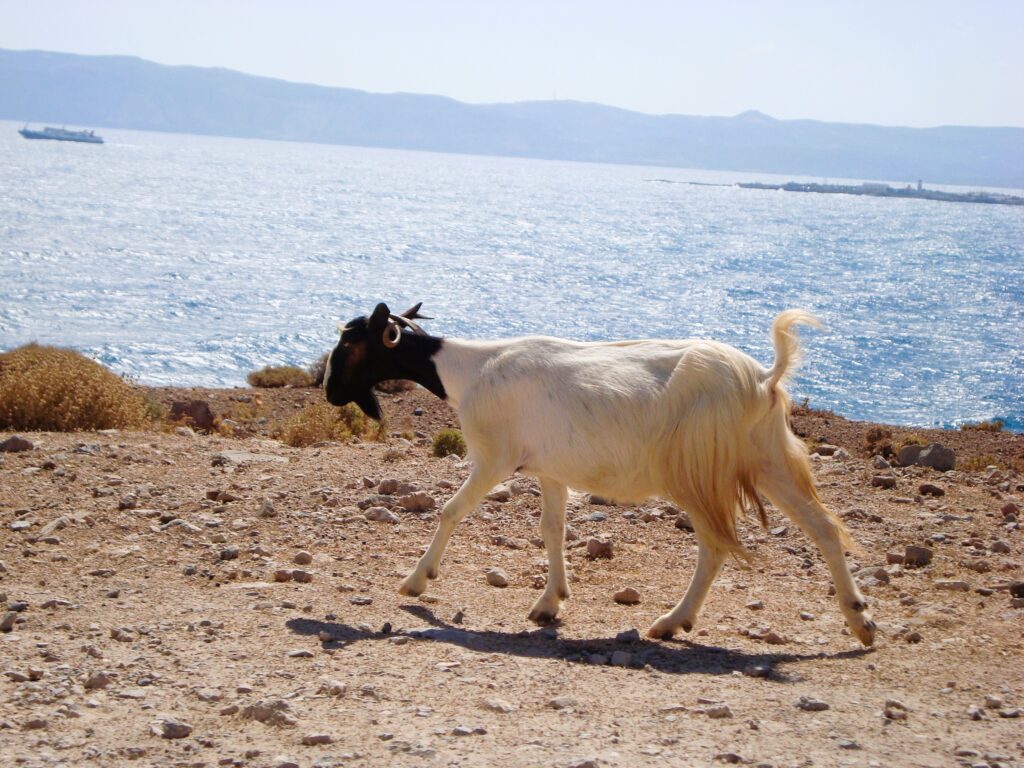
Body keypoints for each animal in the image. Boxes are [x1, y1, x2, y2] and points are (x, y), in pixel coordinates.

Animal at [323, 303, 876, 647]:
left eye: (350, 345)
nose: (329, 393)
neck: (468, 369)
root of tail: (763, 378)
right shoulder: (549, 470)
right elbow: (552, 530)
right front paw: (550, 603)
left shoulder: (494, 458)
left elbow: (451, 510)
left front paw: (416, 581)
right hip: (766, 459)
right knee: (824, 528)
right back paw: (861, 622)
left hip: (698, 472)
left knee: (716, 546)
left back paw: (672, 621)